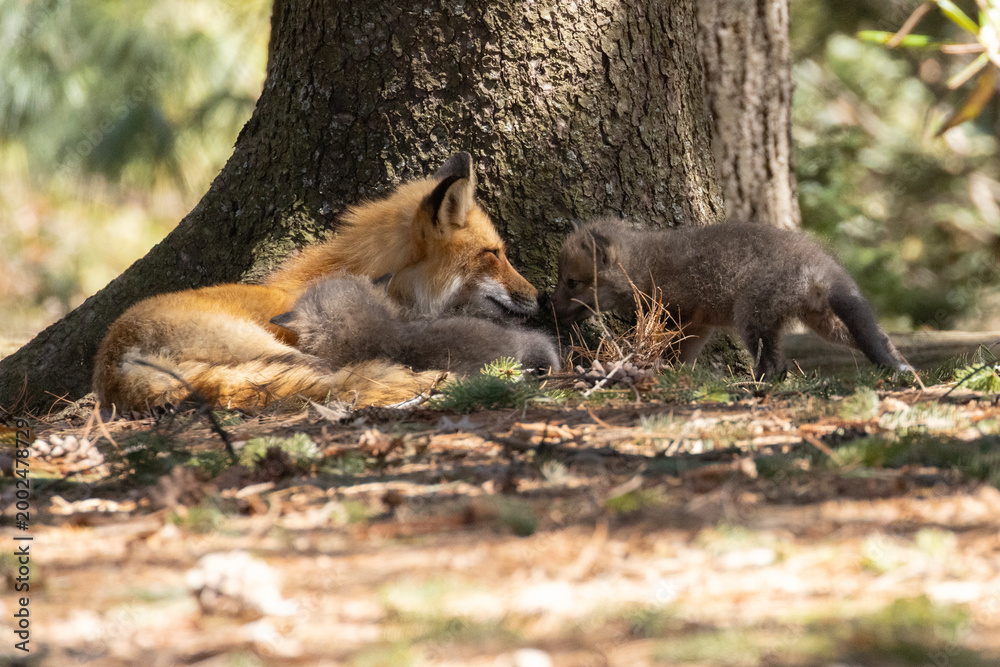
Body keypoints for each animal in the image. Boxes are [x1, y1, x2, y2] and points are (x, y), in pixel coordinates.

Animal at [551, 218, 911, 380]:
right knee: (881, 338)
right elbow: (681, 354)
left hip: (752, 317)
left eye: (571, 282)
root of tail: (819, 263)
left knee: (776, 365)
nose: (547, 307)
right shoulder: (698, 324)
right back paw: (904, 370)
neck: (645, 266)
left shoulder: (677, 315)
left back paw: (757, 385)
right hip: (827, 323)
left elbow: (667, 348)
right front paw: (674, 373)